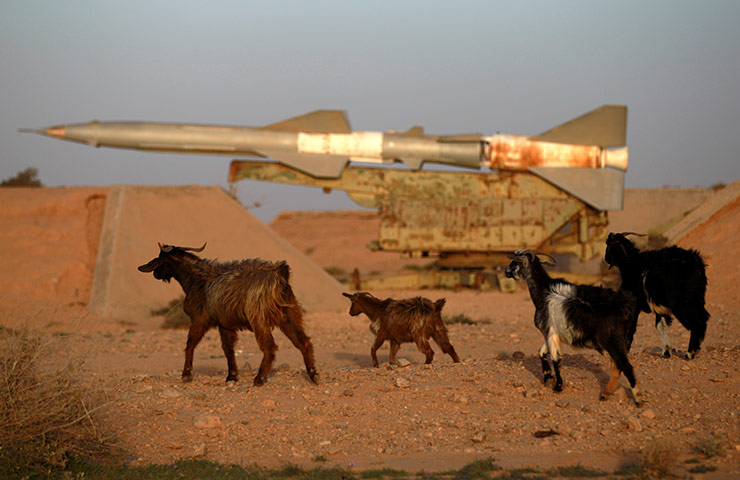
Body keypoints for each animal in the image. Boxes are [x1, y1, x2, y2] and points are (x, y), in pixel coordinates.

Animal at [138, 243, 318, 386]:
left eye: (161, 258)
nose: (155, 273)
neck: (198, 279)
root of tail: (280, 273)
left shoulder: (199, 320)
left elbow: (190, 343)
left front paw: (186, 374)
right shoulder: (225, 324)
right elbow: (228, 349)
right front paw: (231, 376)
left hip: (259, 318)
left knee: (269, 346)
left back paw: (259, 378)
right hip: (289, 315)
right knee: (303, 341)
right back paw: (313, 375)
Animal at [505, 250, 642, 407]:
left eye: (515, 262)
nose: (505, 271)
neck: (544, 292)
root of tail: (626, 305)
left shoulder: (551, 333)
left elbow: (555, 358)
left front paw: (558, 386)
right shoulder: (552, 333)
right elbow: (541, 352)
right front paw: (547, 377)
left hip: (613, 340)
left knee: (625, 366)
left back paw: (638, 400)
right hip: (622, 340)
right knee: (617, 366)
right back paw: (605, 394)